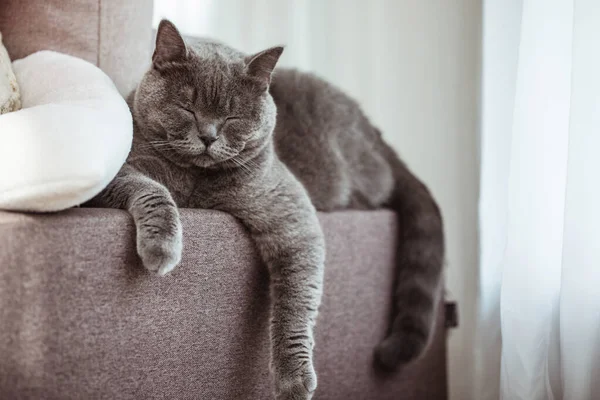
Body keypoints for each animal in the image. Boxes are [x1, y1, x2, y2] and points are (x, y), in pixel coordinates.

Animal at [89, 21, 446, 400]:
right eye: (187, 107)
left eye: (232, 116)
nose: (208, 136)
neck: (195, 183)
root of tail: (374, 129)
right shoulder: (119, 170)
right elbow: (152, 189)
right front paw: (162, 248)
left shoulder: (291, 211)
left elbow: (296, 301)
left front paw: (294, 380)